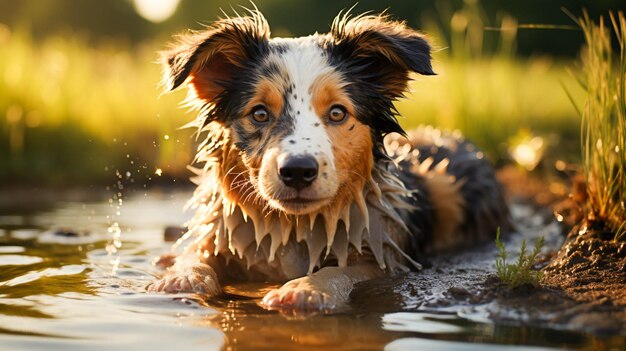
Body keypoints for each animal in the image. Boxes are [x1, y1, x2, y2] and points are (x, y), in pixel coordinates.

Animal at [149, 8, 510, 312]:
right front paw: (181, 277)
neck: (293, 228)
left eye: (337, 112)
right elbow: (197, 253)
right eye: (259, 113)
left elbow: (342, 270)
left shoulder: (384, 259)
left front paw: (306, 289)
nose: (297, 171)